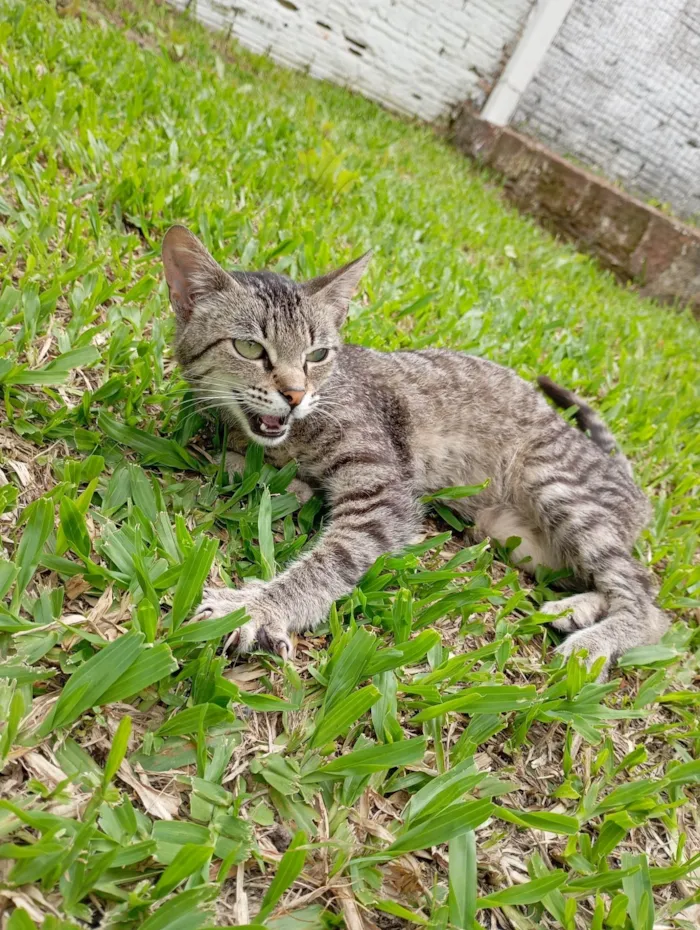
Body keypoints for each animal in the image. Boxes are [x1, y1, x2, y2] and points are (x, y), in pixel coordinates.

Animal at [163, 225, 668, 676]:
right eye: (250, 348)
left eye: (318, 355)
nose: (294, 394)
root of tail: (628, 481)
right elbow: (254, 464)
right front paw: (272, 477)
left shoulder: (387, 491)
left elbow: (332, 560)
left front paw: (257, 608)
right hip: (521, 541)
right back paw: (577, 608)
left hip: (556, 485)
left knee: (649, 600)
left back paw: (593, 645)